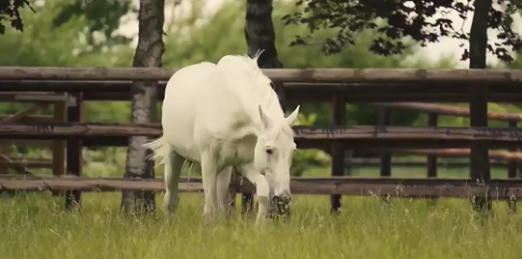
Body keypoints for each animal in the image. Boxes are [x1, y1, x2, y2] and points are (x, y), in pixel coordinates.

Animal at [142, 52, 298, 225]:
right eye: (269, 150)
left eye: (292, 150)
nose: (284, 197)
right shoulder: (208, 160)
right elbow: (209, 202)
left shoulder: (244, 162)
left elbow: (262, 191)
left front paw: (259, 226)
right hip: (174, 156)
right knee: (171, 197)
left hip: (224, 168)